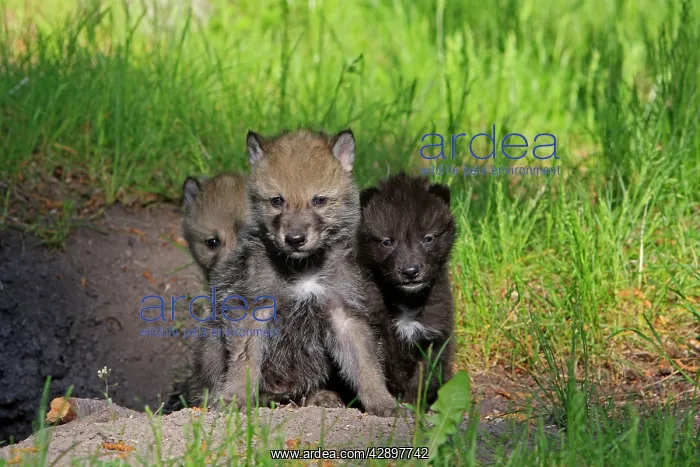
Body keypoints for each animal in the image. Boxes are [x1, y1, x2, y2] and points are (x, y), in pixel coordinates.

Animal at [187, 129, 397, 416]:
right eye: (277, 201)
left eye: (319, 200)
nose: (295, 239)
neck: (303, 269)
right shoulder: (254, 309)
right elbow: (245, 362)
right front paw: (234, 399)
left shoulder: (344, 314)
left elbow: (366, 365)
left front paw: (383, 403)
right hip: (211, 343)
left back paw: (321, 397)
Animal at [358, 172, 457, 406]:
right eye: (387, 242)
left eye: (428, 238)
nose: (410, 271)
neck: (407, 301)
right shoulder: (376, 333)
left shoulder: (433, 339)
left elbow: (421, 379)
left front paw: (413, 405)